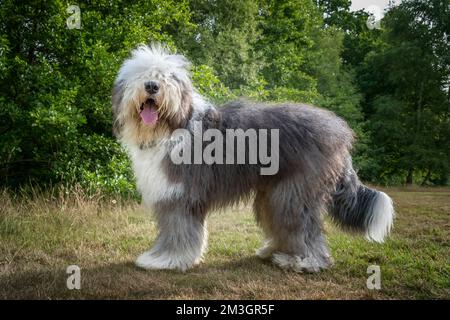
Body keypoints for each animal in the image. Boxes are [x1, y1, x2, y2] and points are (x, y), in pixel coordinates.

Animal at [112, 43, 394, 272]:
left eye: (168, 78)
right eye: (140, 75)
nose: (151, 86)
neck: (171, 127)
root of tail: (340, 135)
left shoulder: (180, 195)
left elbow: (177, 230)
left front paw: (165, 260)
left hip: (295, 192)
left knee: (303, 228)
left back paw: (304, 261)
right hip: (274, 191)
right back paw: (275, 251)